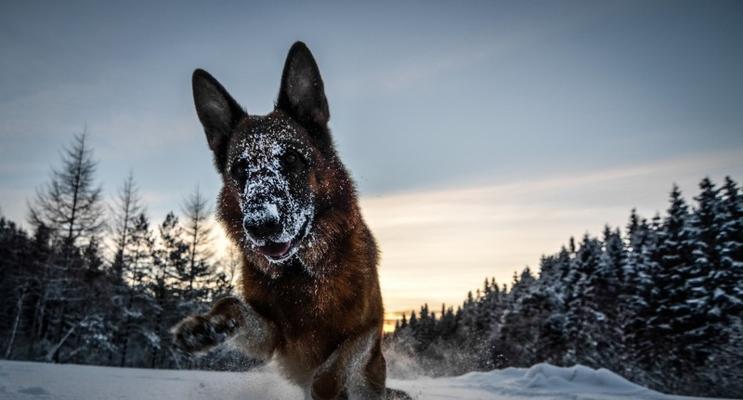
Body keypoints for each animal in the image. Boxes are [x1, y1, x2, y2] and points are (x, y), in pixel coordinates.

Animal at [172, 43, 410, 400]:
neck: (301, 275)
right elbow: (231, 304)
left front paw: (325, 388)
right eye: (240, 169)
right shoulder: (272, 337)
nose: (261, 224)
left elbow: (330, 370)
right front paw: (206, 327)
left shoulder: (366, 331)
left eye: (292, 159)